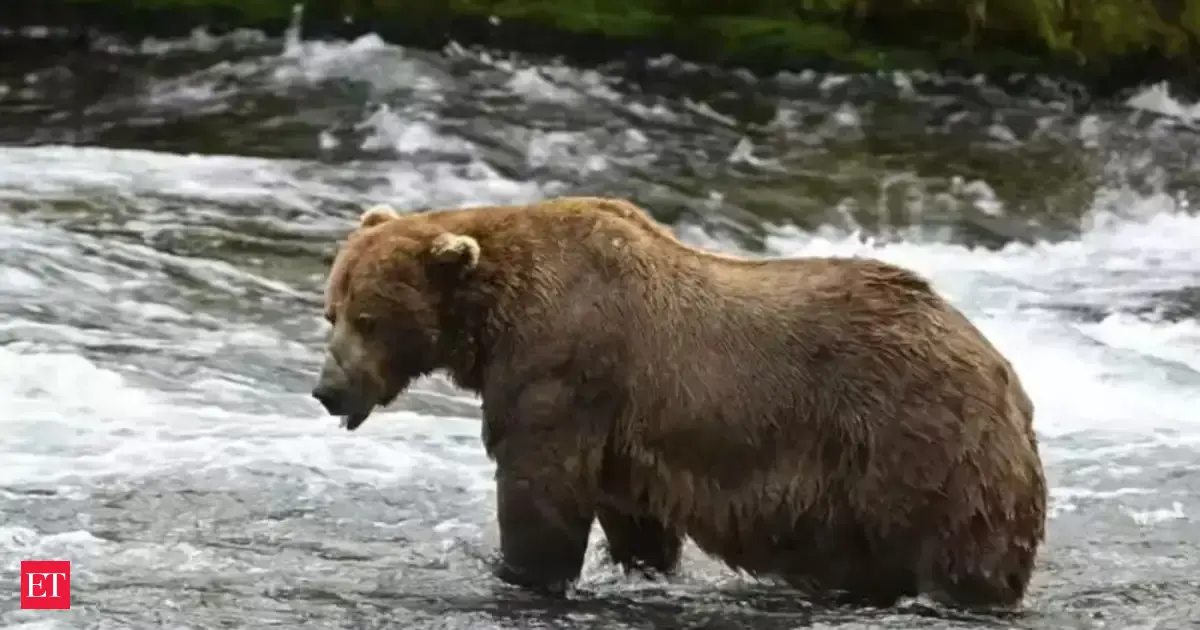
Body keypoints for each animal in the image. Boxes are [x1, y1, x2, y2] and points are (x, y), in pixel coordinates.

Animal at [310, 195, 1048, 610]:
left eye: (368, 317)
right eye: (332, 311)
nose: (326, 389)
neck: (492, 321)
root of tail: (1005, 374)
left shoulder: (562, 370)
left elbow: (539, 494)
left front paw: (519, 573)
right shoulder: (624, 434)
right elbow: (633, 520)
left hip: (919, 445)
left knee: (961, 555)